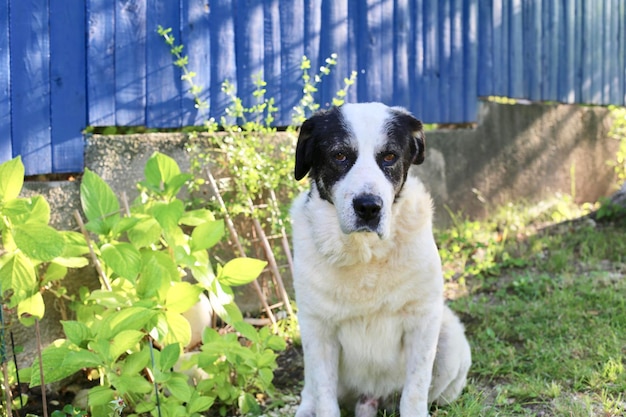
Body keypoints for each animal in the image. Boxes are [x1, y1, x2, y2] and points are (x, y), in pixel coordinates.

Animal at [290, 101, 470, 416]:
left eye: (389, 156)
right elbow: (325, 397)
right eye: (339, 155)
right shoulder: (317, 329)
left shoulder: (423, 320)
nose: (368, 207)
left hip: (450, 341)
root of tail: (370, 397)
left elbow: (414, 392)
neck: (366, 255)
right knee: (311, 391)